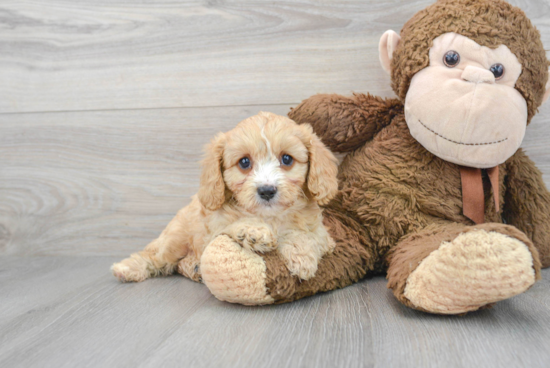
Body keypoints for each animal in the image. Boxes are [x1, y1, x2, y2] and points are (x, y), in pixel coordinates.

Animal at [112, 111, 340, 282]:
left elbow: (304, 235)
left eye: (287, 159)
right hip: (174, 240)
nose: (266, 190)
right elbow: (232, 226)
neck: (269, 217)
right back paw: (127, 268)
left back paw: (194, 267)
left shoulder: (324, 236)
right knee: (155, 256)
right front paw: (253, 232)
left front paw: (302, 257)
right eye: (244, 162)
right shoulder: (214, 230)